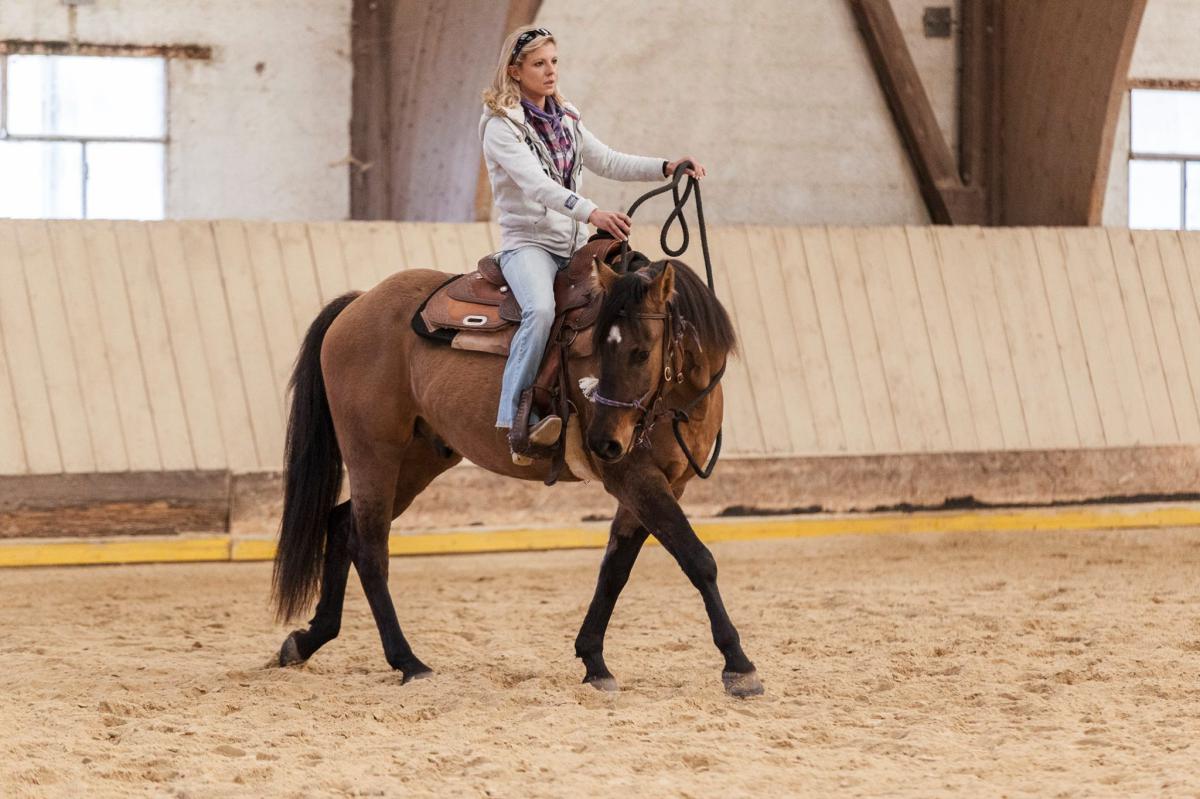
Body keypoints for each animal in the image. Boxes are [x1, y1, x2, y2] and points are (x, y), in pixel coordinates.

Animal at [267, 251, 763, 695]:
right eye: (601, 350)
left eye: (641, 352)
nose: (603, 442)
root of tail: (359, 303)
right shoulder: (634, 476)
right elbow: (697, 559)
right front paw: (738, 665)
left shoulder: (666, 484)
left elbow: (616, 568)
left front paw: (593, 660)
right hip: (374, 454)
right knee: (370, 549)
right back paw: (409, 662)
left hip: (419, 460)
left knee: (341, 525)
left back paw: (307, 640)